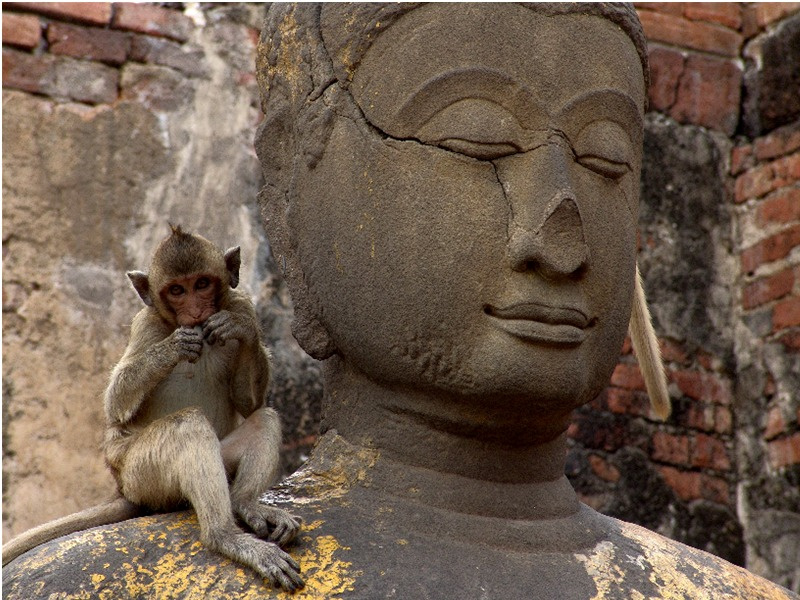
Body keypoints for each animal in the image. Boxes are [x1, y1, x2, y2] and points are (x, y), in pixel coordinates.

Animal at [3, 225, 304, 592]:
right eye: (176, 290)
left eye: (202, 284)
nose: (195, 310)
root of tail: (122, 488)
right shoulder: (145, 325)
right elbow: (116, 404)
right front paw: (173, 347)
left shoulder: (241, 304)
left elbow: (252, 403)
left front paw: (239, 330)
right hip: (142, 476)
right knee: (187, 426)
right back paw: (225, 537)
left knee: (264, 419)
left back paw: (246, 504)